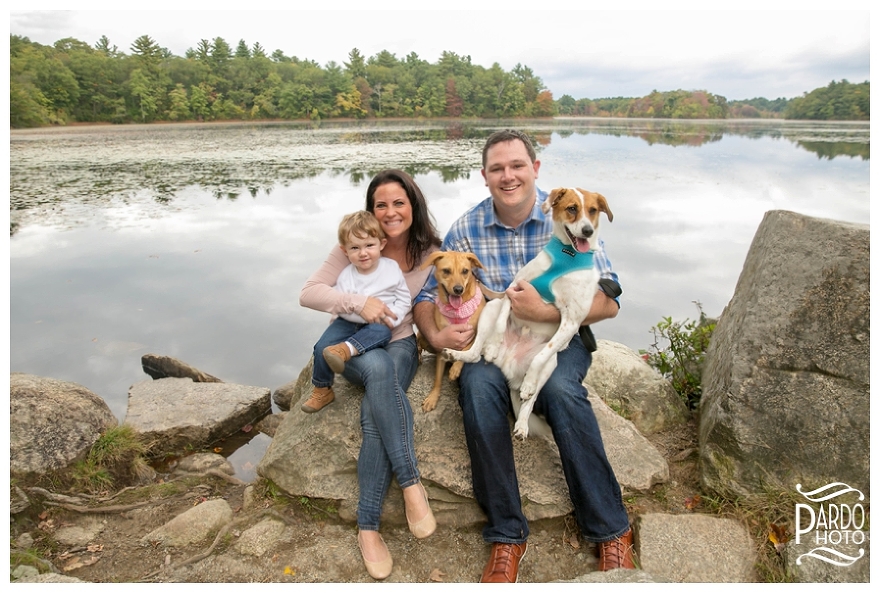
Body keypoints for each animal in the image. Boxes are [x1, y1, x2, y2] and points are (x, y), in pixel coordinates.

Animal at [420, 250, 488, 412]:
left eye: (465, 271)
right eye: (446, 271)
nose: (458, 290)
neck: (458, 310)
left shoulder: (475, 334)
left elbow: (467, 348)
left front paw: (456, 367)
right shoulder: (442, 346)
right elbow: (438, 379)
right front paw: (433, 397)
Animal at [444, 187, 616, 438]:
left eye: (593, 210)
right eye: (572, 208)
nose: (587, 231)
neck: (568, 255)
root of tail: (508, 366)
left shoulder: (572, 320)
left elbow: (540, 358)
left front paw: (528, 386)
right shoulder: (513, 290)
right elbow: (500, 324)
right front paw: (493, 346)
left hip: (551, 365)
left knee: (531, 398)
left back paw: (523, 419)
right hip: (491, 309)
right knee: (475, 352)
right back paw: (460, 353)